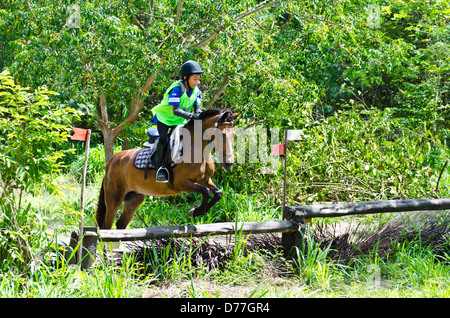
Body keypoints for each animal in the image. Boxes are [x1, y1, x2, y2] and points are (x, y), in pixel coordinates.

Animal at [95, 108, 239, 229]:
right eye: (223, 134)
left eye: (233, 134)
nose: (229, 163)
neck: (197, 148)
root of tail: (112, 161)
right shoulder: (181, 183)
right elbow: (206, 191)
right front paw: (196, 211)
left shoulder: (205, 180)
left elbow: (218, 193)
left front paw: (196, 211)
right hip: (114, 198)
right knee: (106, 225)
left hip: (133, 199)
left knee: (120, 224)